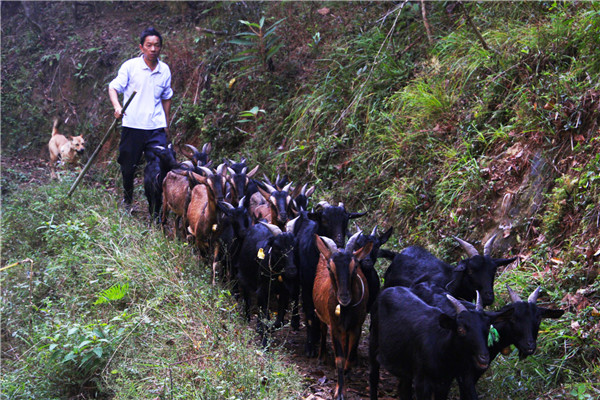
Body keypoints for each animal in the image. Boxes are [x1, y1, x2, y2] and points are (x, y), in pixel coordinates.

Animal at [312, 231, 372, 400]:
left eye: (355, 266)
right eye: (329, 267)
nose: (344, 297)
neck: (346, 309)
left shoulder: (357, 326)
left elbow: (349, 358)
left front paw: (347, 371)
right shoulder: (335, 326)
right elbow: (339, 359)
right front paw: (339, 391)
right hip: (322, 315)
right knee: (322, 329)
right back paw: (321, 357)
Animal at [368, 288, 512, 400]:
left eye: (487, 327)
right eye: (461, 329)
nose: (484, 357)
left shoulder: (444, 382)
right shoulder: (421, 381)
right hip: (373, 340)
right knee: (373, 376)